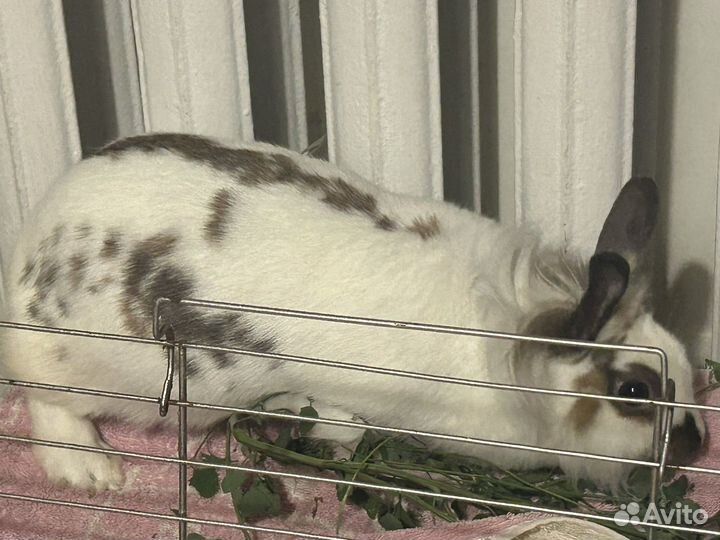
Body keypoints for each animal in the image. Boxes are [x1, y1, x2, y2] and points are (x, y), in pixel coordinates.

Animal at [0, 133, 705, 493]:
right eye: (634, 391)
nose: (696, 444)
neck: (507, 347)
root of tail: (30, 250)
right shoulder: (346, 395)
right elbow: (343, 427)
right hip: (100, 371)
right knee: (47, 404)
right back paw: (94, 472)